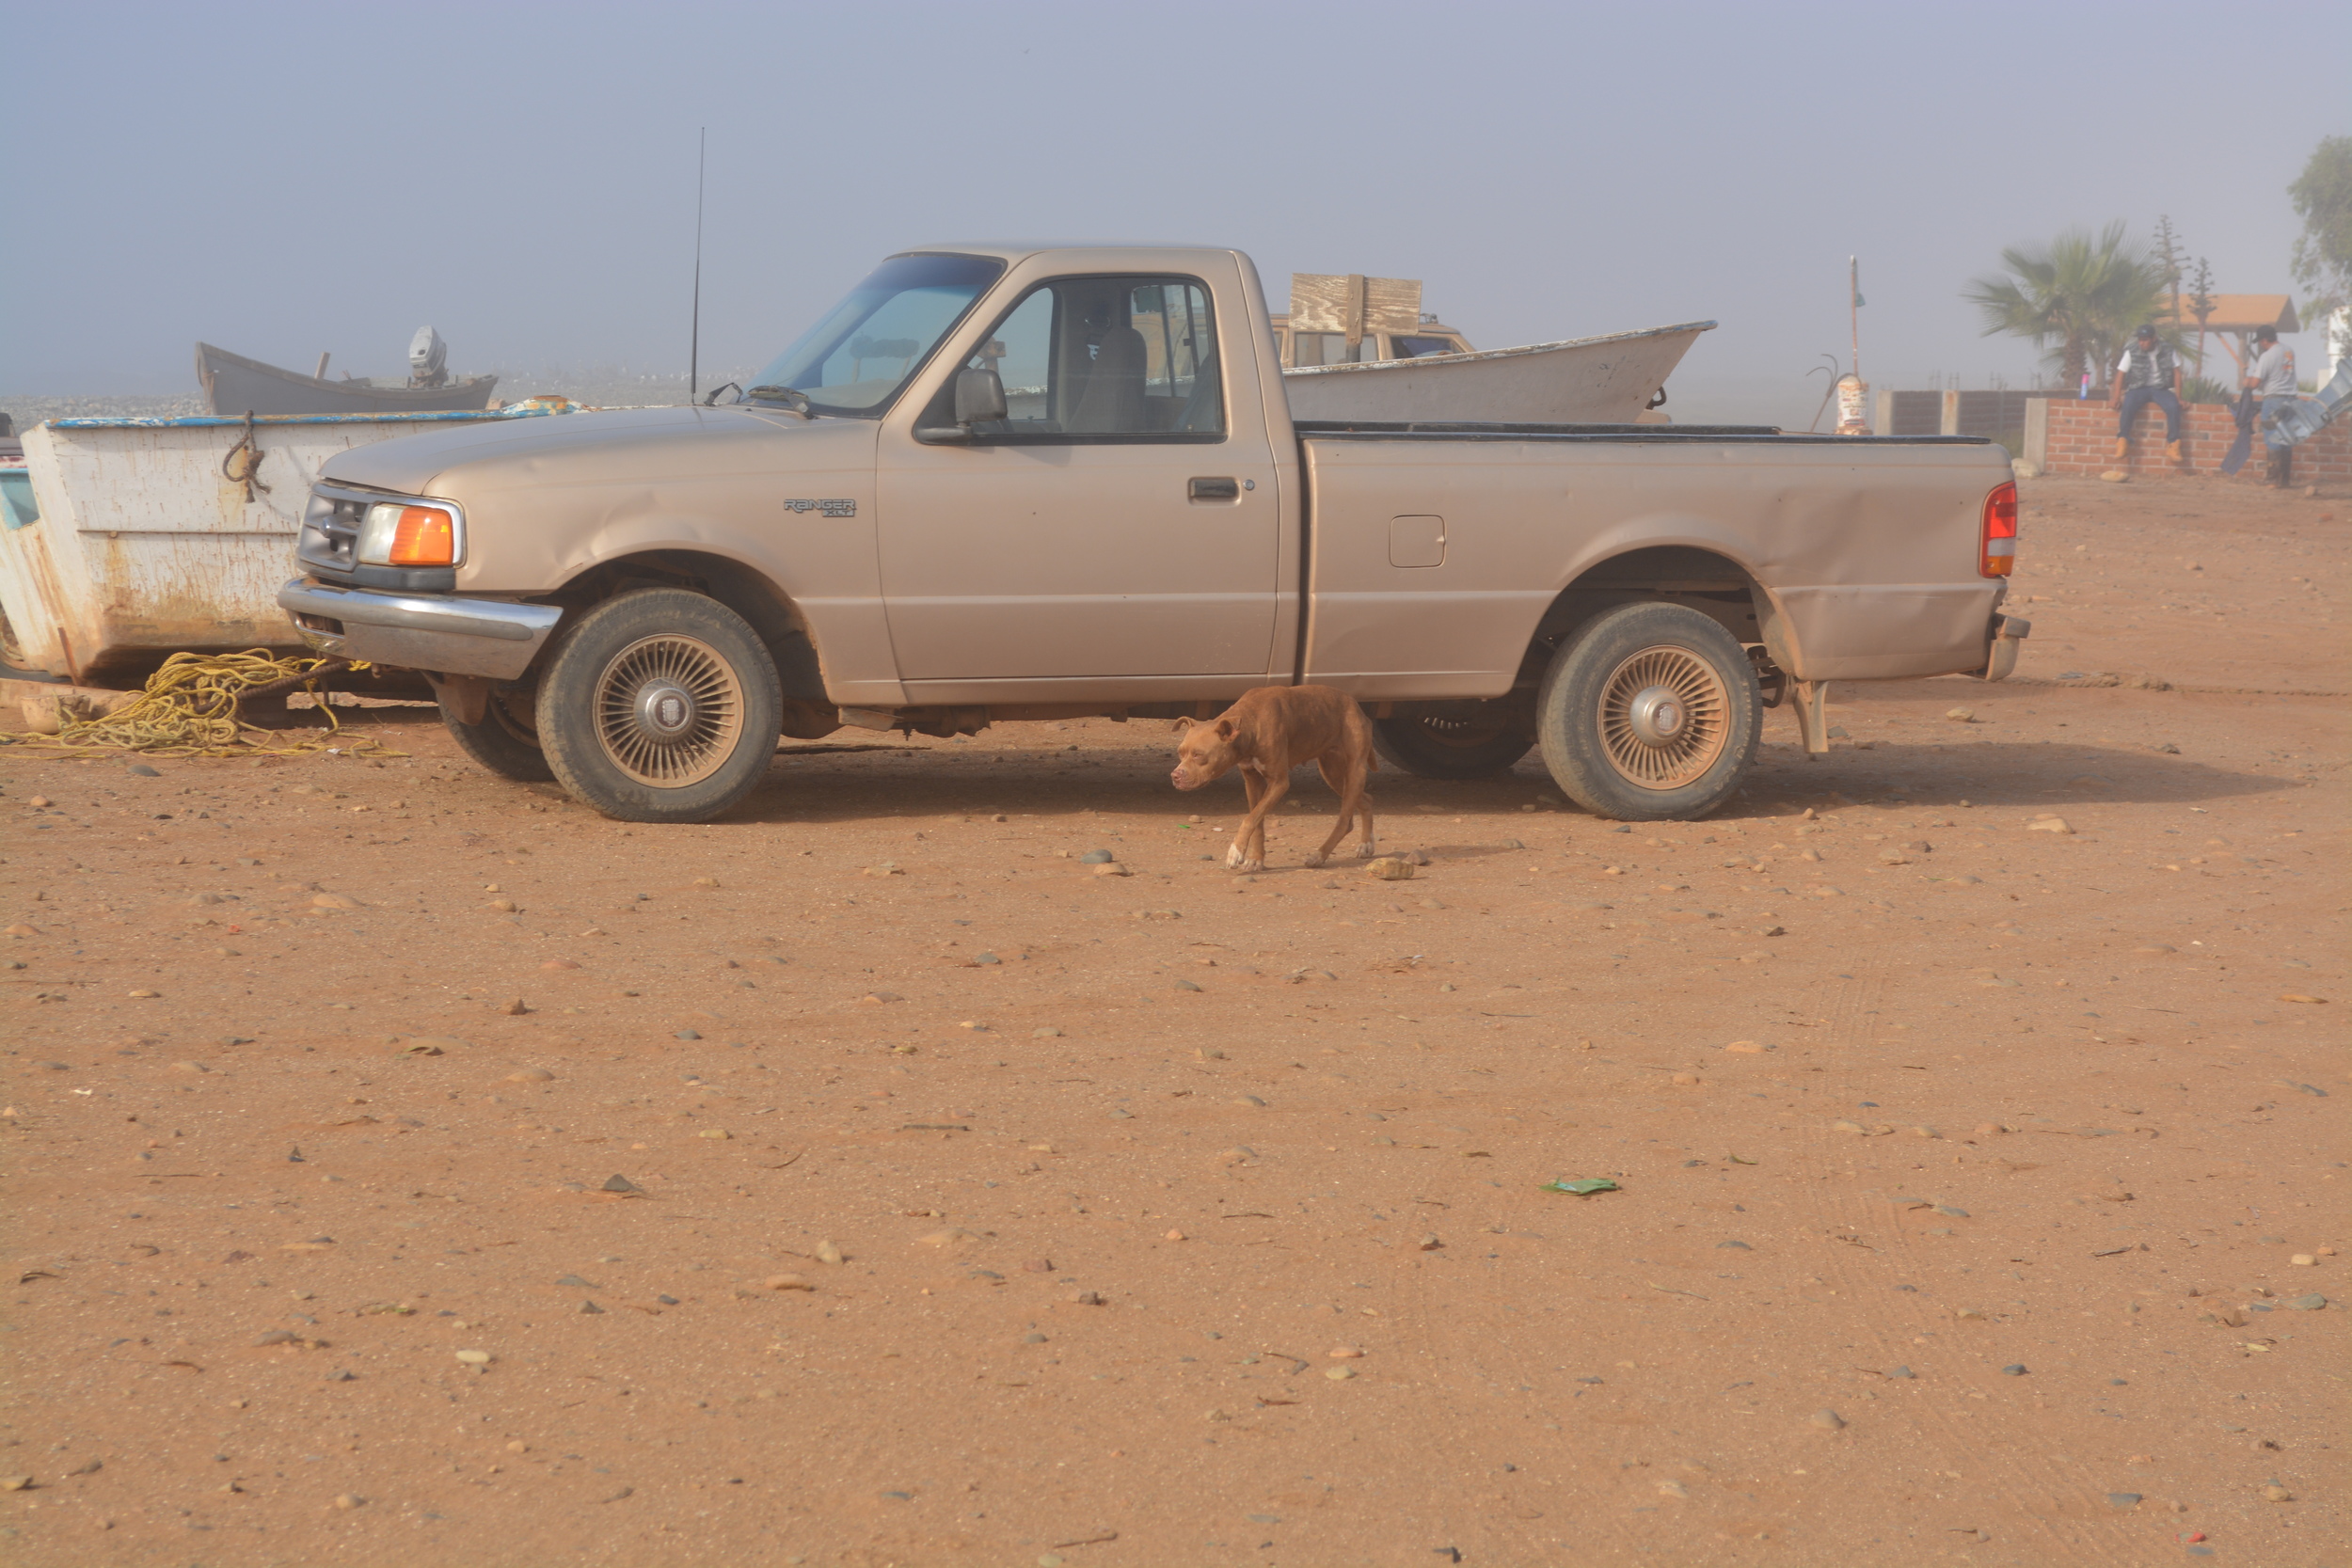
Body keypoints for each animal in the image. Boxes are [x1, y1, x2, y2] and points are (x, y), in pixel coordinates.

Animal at [1176, 686, 1374, 879]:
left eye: (1198, 755)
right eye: (1180, 752)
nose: (1175, 775)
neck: (1251, 721)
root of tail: (1357, 706)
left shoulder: (1279, 783)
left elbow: (1249, 819)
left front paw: (1236, 851)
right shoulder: (1252, 782)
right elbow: (1257, 822)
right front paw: (1255, 859)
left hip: (1354, 769)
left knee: (1345, 820)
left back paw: (1319, 855)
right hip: (1332, 773)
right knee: (1365, 800)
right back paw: (1366, 843)